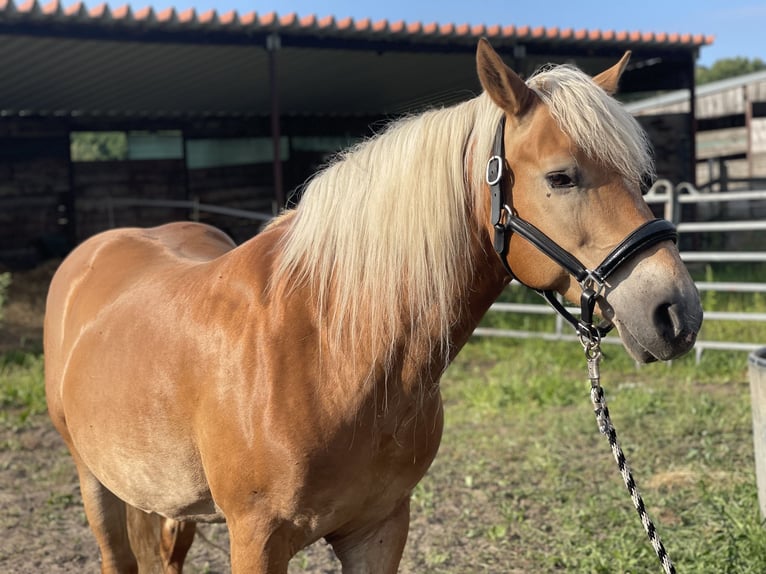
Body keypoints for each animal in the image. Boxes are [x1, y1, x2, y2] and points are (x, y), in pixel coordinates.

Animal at [42, 38, 704, 572]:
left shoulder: (380, 527)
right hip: (94, 483)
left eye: (642, 178)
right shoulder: (255, 539)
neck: (330, 344)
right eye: (562, 177)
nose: (676, 313)